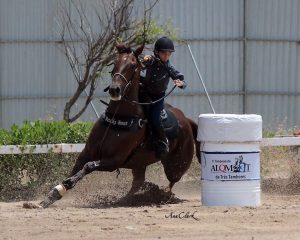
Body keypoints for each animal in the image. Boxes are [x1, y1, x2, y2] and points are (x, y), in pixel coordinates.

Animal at [39, 44, 199, 208]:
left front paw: (68, 182)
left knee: (171, 182)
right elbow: (77, 168)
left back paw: (160, 196)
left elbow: (88, 166)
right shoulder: (86, 152)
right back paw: (125, 200)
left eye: (133, 65)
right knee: (138, 183)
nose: (114, 89)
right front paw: (53, 194)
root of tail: (187, 120)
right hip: (140, 163)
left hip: (176, 166)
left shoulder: (113, 161)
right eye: (114, 63)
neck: (118, 118)